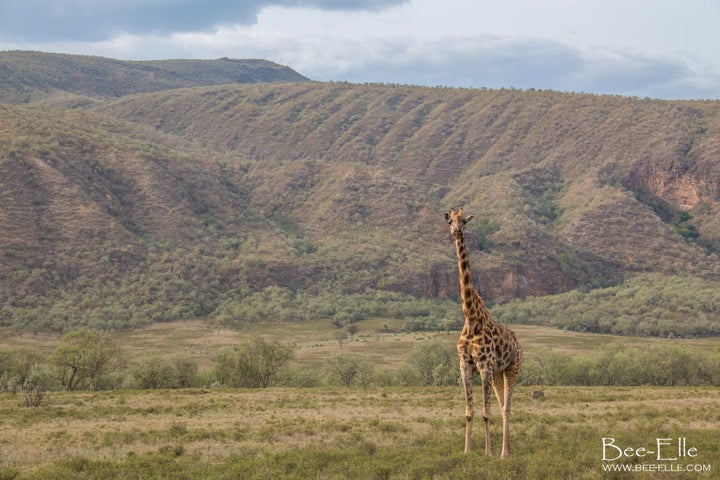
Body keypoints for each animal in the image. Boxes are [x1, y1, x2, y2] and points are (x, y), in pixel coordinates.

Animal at [444, 206, 524, 458]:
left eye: (464, 221)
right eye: (450, 220)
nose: (456, 230)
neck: (470, 319)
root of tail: (518, 342)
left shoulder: (485, 366)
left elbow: (486, 413)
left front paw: (487, 453)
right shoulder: (465, 365)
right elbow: (469, 411)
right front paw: (467, 451)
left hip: (513, 368)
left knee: (507, 407)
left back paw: (504, 454)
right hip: (499, 373)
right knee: (502, 405)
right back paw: (506, 450)